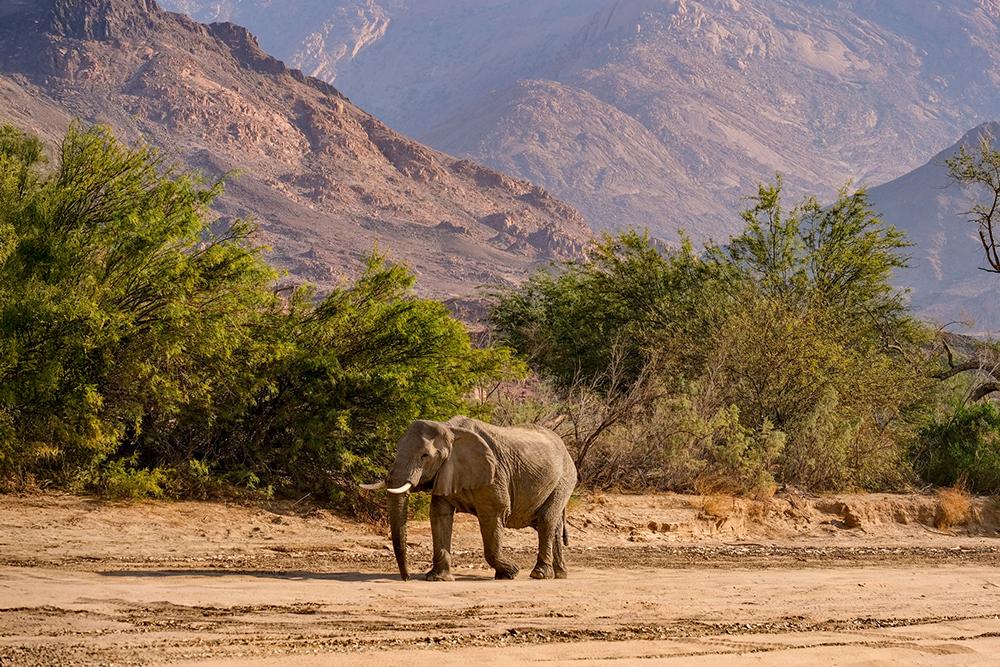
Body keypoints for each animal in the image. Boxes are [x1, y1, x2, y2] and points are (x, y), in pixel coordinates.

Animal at [362, 418, 580, 580]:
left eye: (425, 456)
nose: (406, 578)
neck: (450, 430)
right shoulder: (446, 471)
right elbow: (440, 515)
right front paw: (437, 578)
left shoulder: (494, 475)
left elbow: (493, 515)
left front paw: (511, 572)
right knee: (551, 524)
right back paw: (560, 574)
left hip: (564, 478)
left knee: (546, 520)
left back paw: (539, 574)